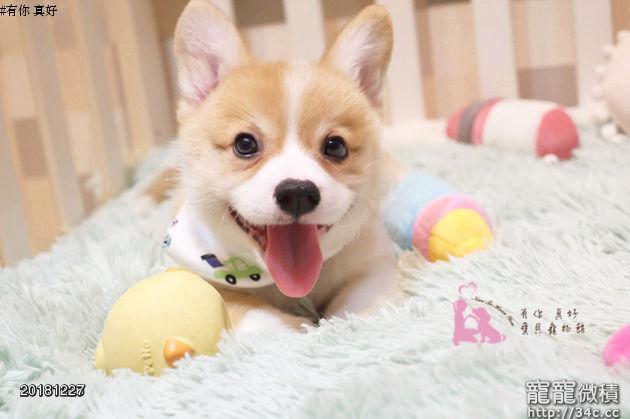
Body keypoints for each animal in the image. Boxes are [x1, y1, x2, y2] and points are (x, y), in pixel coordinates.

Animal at [166, 0, 402, 332]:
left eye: (335, 146)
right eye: (245, 144)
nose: (298, 192)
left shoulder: (373, 270)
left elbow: (356, 312)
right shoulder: (195, 278)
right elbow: (258, 316)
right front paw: (298, 332)